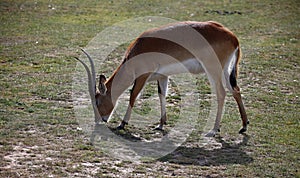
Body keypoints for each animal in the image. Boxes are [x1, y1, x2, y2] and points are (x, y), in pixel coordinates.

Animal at [75, 20, 248, 136]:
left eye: (97, 101)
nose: (99, 120)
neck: (138, 49)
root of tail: (232, 36)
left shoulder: (143, 76)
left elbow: (133, 96)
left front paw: (122, 124)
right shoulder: (163, 76)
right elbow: (161, 95)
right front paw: (160, 124)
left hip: (213, 70)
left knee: (222, 93)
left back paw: (213, 130)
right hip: (226, 71)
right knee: (236, 90)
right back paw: (244, 126)